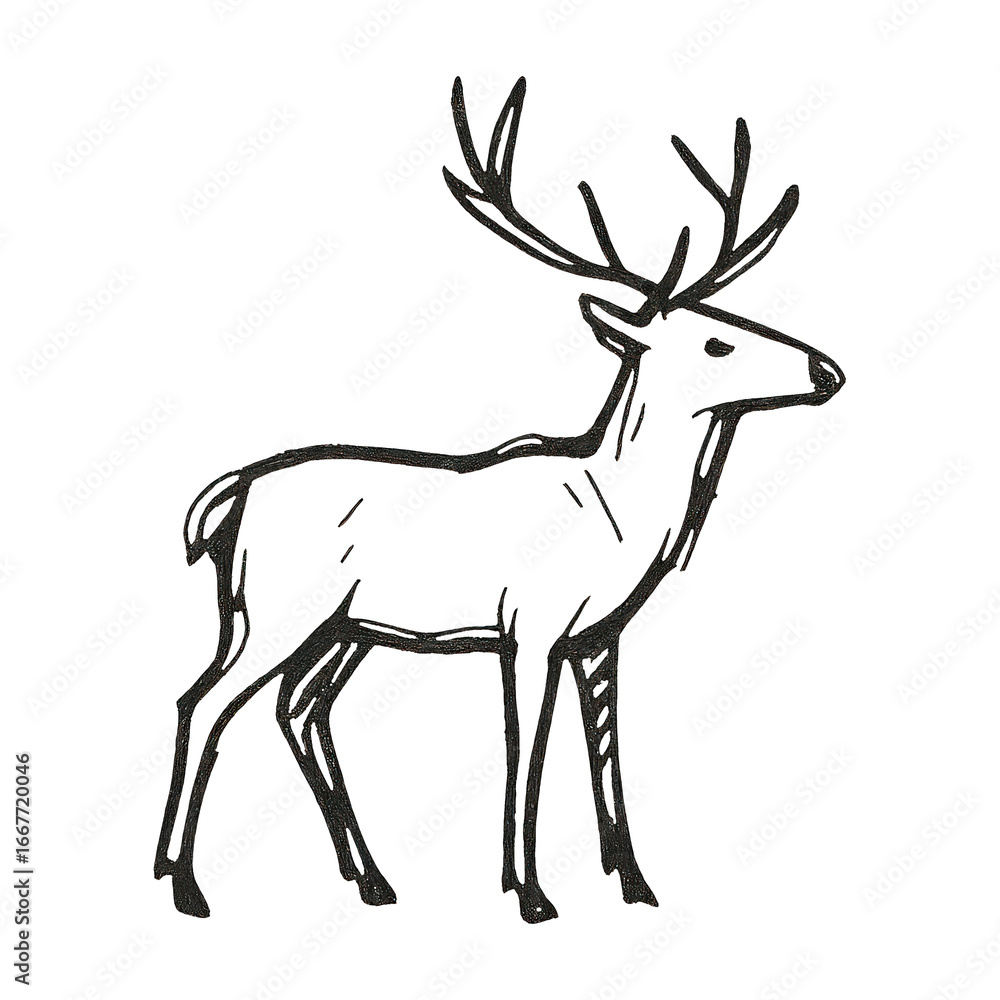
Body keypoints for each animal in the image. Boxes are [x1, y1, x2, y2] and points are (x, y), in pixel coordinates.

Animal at [154, 76, 844, 924]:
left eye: (736, 320)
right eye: (719, 342)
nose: (826, 371)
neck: (622, 520)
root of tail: (230, 495)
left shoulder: (599, 635)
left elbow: (606, 754)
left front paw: (637, 884)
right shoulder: (530, 626)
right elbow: (529, 749)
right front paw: (532, 895)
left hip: (347, 626)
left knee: (299, 707)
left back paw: (371, 880)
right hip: (273, 605)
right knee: (203, 701)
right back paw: (184, 882)